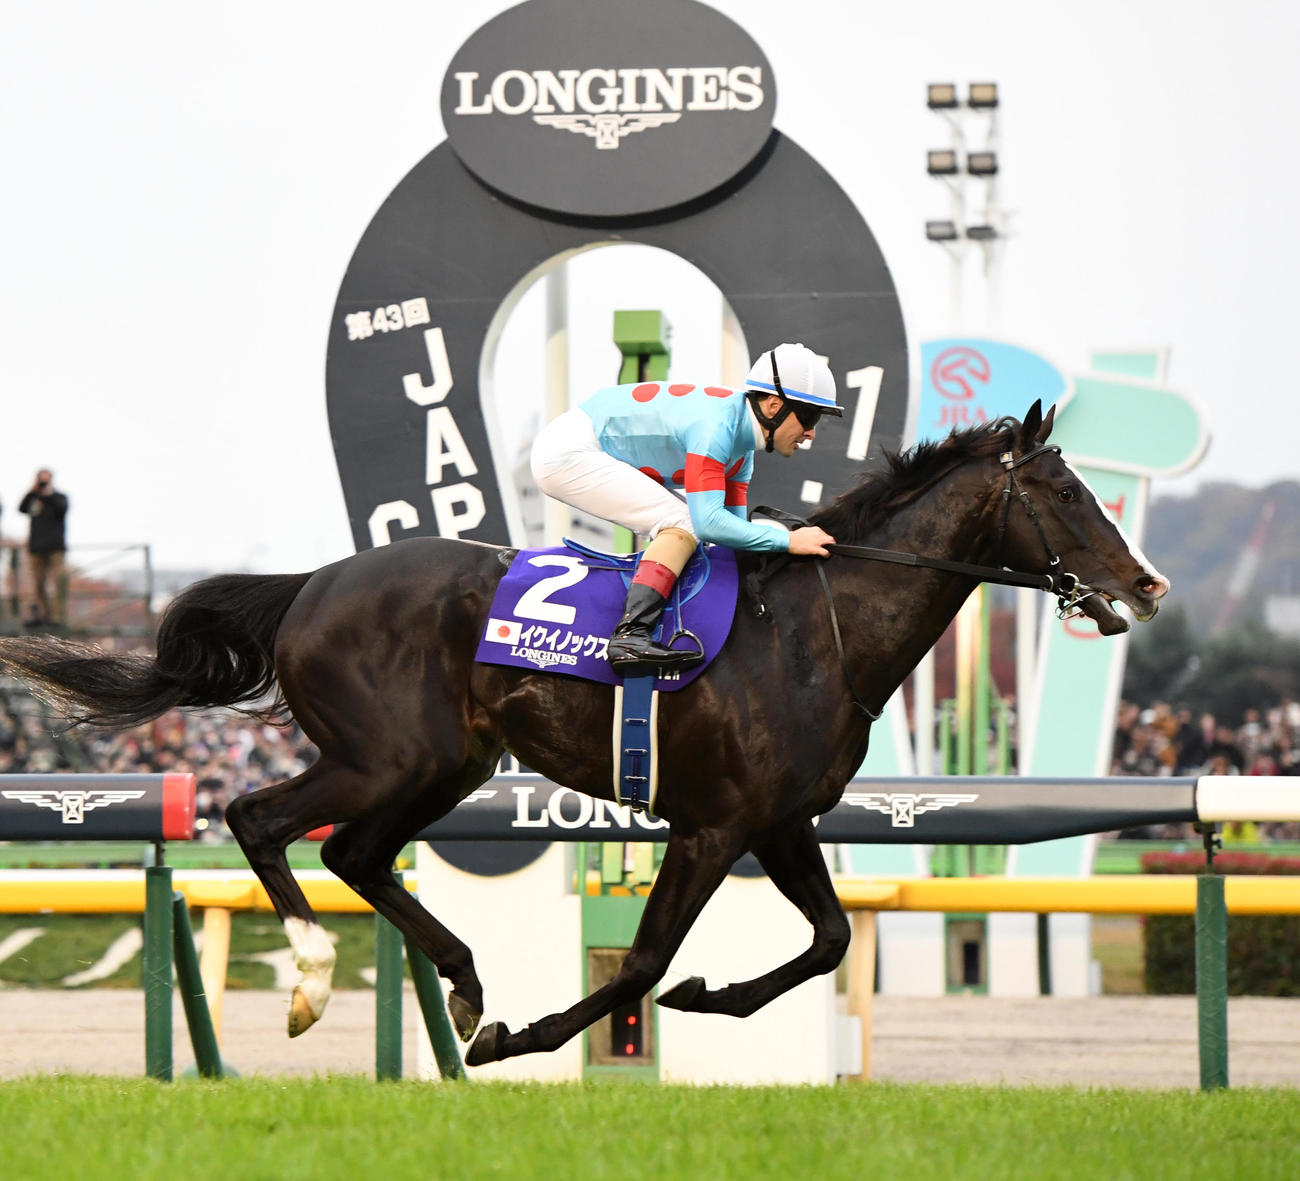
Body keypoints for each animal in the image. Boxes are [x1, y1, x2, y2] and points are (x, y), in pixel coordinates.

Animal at [0, 402, 1168, 1067]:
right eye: (1068, 491)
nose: (1147, 584)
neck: (813, 632)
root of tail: (312, 584)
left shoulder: (779, 821)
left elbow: (830, 939)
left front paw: (710, 994)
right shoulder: (713, 823)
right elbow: (642, 958)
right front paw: (534, 1035)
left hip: (443, 761)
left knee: (354, 853)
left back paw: (464, 980)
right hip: (388, 754)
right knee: (260, 818)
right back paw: (317, 978)